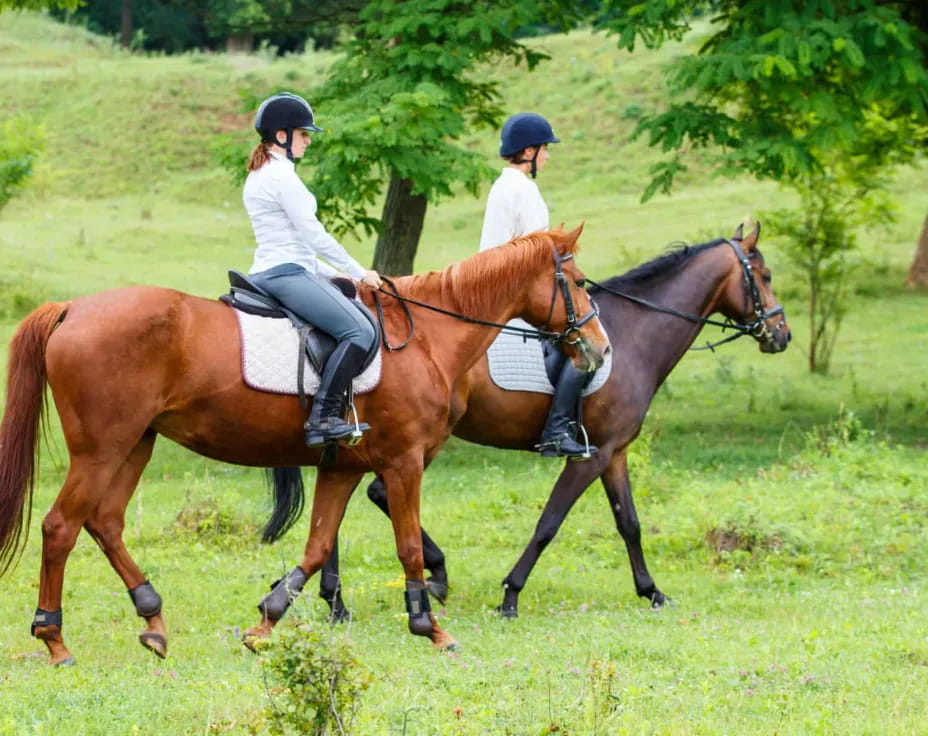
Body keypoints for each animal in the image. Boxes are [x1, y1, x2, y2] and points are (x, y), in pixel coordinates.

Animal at [0, 226, 608, 668]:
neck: (426, 339)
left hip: (136, 444)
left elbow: (317, 548)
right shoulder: (404, 463)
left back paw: (152, 620)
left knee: (104, 522)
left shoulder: (344, 468)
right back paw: (54, 638)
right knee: (61, 527)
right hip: (102, 448)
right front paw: (430, 627)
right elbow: (408, 546)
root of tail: (73, 308)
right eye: (579, 282)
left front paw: (265, 622)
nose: (599, 351)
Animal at [318, 223, 792, 620]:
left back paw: (338, 597)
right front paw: (511, 594)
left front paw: (652, 591)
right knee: (373, 494)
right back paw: (395, 584)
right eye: (765, 275)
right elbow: (549, 522)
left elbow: (629, 524)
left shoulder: (614, 453)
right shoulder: (590, 456)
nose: (781, 334)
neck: (634, 335)